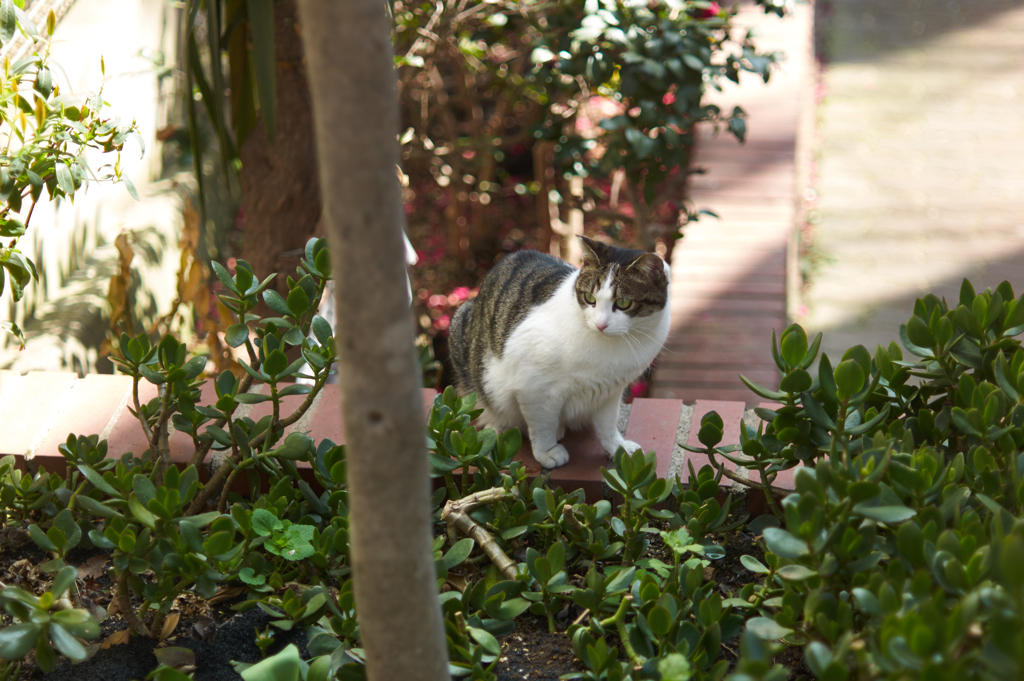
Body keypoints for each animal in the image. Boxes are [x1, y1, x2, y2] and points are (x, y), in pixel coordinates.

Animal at [448, 235, 671, 466]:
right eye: (590, 298)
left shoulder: (611, 390)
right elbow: (542, 426)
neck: (610, 349)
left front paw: (618, 447)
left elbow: (608, 425)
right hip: (461, 326)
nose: (600, 324)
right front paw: (546, 452)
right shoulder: (534, 388)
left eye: (623, 302)